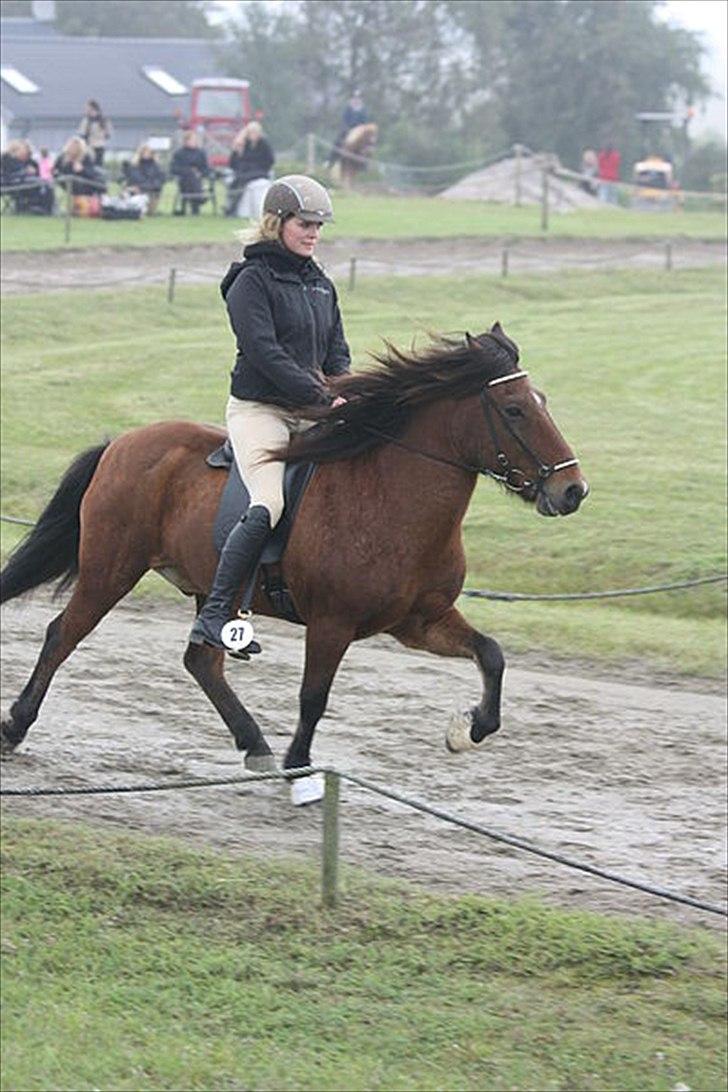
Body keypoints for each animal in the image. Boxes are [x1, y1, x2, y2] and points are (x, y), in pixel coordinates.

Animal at [0, 318, 589, 790]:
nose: (573, 491)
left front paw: (468, 729)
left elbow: (491, 654)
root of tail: (122, 443)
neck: (393, 501)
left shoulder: (419, 620)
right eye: (514, 409)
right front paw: (300, 766)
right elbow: (314, 696)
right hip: (111, 569)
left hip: (207, 589)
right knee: (63, 634)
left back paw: (254, 744)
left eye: (543, 402)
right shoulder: (332, 622)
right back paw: (15, 726)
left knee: (201, 661)